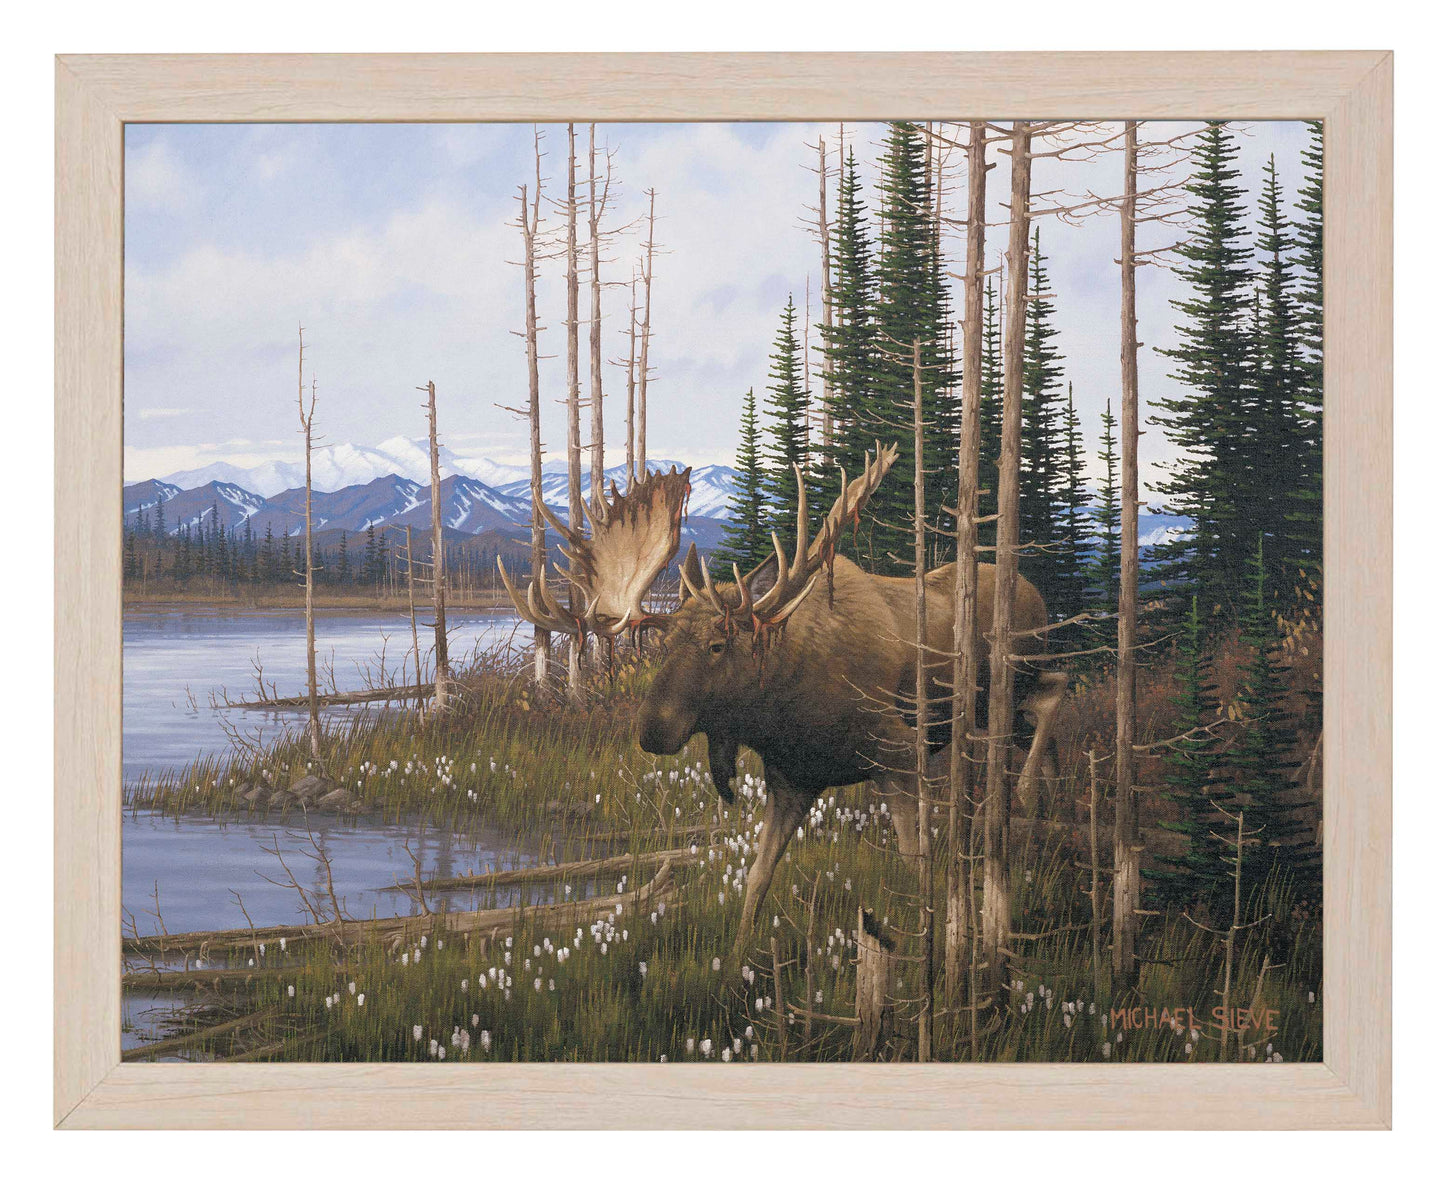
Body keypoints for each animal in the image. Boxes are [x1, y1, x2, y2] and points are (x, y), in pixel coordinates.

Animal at [499, 447, 1066, 959]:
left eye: (717, 645)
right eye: (663, 645)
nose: (651, 730)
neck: (786, 713)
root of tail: (1036, 590)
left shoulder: (900, 752)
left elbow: (914, 862)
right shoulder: (791, 780)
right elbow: (757, 876)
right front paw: (737, 958)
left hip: (1010, 680)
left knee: (1056, 692)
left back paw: (1028, 794)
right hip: (994, 708)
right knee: (1048, 715)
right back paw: (1046, 809)